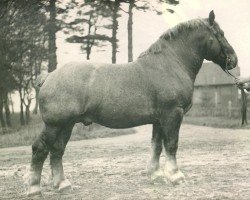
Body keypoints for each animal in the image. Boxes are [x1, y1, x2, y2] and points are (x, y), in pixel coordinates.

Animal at [26, 10, 237, 195]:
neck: (170, 64)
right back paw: (34, 188)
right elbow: (171, 145)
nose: (234, 60)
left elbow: (156, 146)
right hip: (55, 125)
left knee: (57, 150)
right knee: (40, 149)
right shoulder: (172, 115)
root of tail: (49, 76)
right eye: (221, 34)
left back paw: (63, 184)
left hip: (67, 125)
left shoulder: (159, 120)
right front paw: (175, 176)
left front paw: (155, 174)